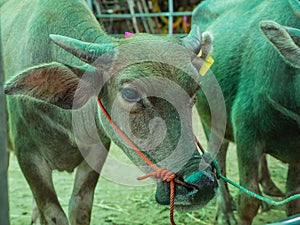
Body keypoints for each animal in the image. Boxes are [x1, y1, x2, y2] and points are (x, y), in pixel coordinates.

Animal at [1, 0, 219, 225]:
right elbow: (54, 214)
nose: (201, 182)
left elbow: (79, 207)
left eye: (195, 89)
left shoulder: (95, 154)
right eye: (130, 93)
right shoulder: (28, 156)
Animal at [193, 0, 298, 224]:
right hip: (212, 121)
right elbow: (248, 200)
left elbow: (294, 199)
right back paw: (225, 211)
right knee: (218, 159)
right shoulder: (246, 133)